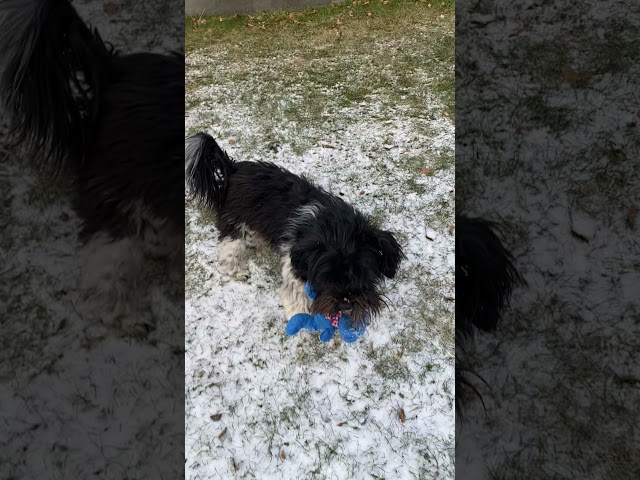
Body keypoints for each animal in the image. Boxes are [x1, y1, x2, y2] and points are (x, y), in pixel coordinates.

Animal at [185, 133, 404, 324]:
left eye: (363, 275)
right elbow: (296, 293)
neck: (335, 228)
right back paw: (235, 268)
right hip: (234, 219)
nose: (345, 305)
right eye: (326, 278)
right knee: (230, 244)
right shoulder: (296, 264)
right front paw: (299, 316)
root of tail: (233, 168)